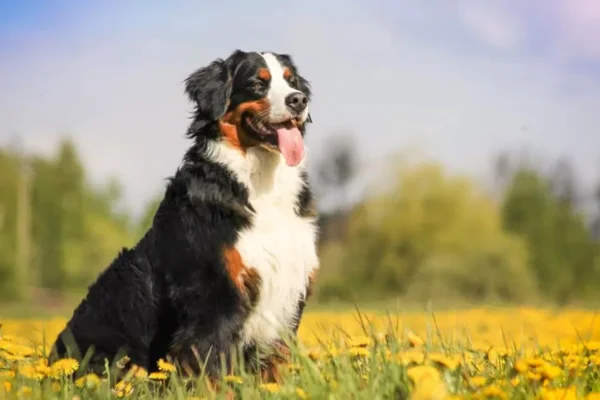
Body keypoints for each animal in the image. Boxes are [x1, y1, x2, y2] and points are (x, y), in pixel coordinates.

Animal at [51, 48, 318, 380]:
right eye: (258, 83)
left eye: (291, 81)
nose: (298, 100)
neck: (260, 181)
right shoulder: (214, 295)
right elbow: (210, 366)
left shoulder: (287, 292)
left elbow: (277, 366)